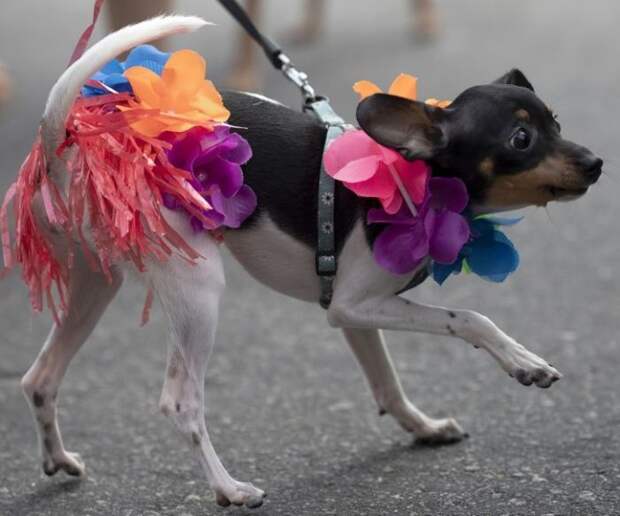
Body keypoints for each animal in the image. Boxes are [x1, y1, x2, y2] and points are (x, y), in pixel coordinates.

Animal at [18, 15, 600, 508]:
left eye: (556, 122)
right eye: (521, 139)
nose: (596, 163)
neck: (418, 179)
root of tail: (63, 141)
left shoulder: (356, 314)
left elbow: (386, 381)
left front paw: (423, 427)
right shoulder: (354, 305)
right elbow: (471, 319)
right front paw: (524, 362)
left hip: (96, 280)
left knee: (39, 378)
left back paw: (57, 458)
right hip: (196, 287)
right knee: (180, 402)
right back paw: (229, 489)